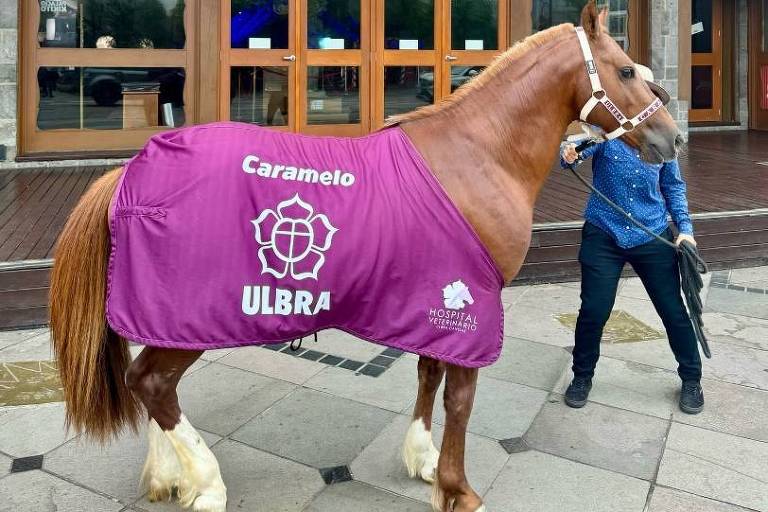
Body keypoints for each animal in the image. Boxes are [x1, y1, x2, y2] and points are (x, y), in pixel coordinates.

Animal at [51, 2, 680, 510]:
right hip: (192, 317)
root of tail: (132, 172)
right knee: (152, 383)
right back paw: (206, 483)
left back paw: (169, 477)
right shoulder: (472, 303)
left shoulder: (436, 300)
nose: (672, 139)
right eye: (627, 70)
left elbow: (429, 375)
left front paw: (424, 460)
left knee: (149, 384)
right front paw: (458, 488)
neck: (477, 154)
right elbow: (461, 398)